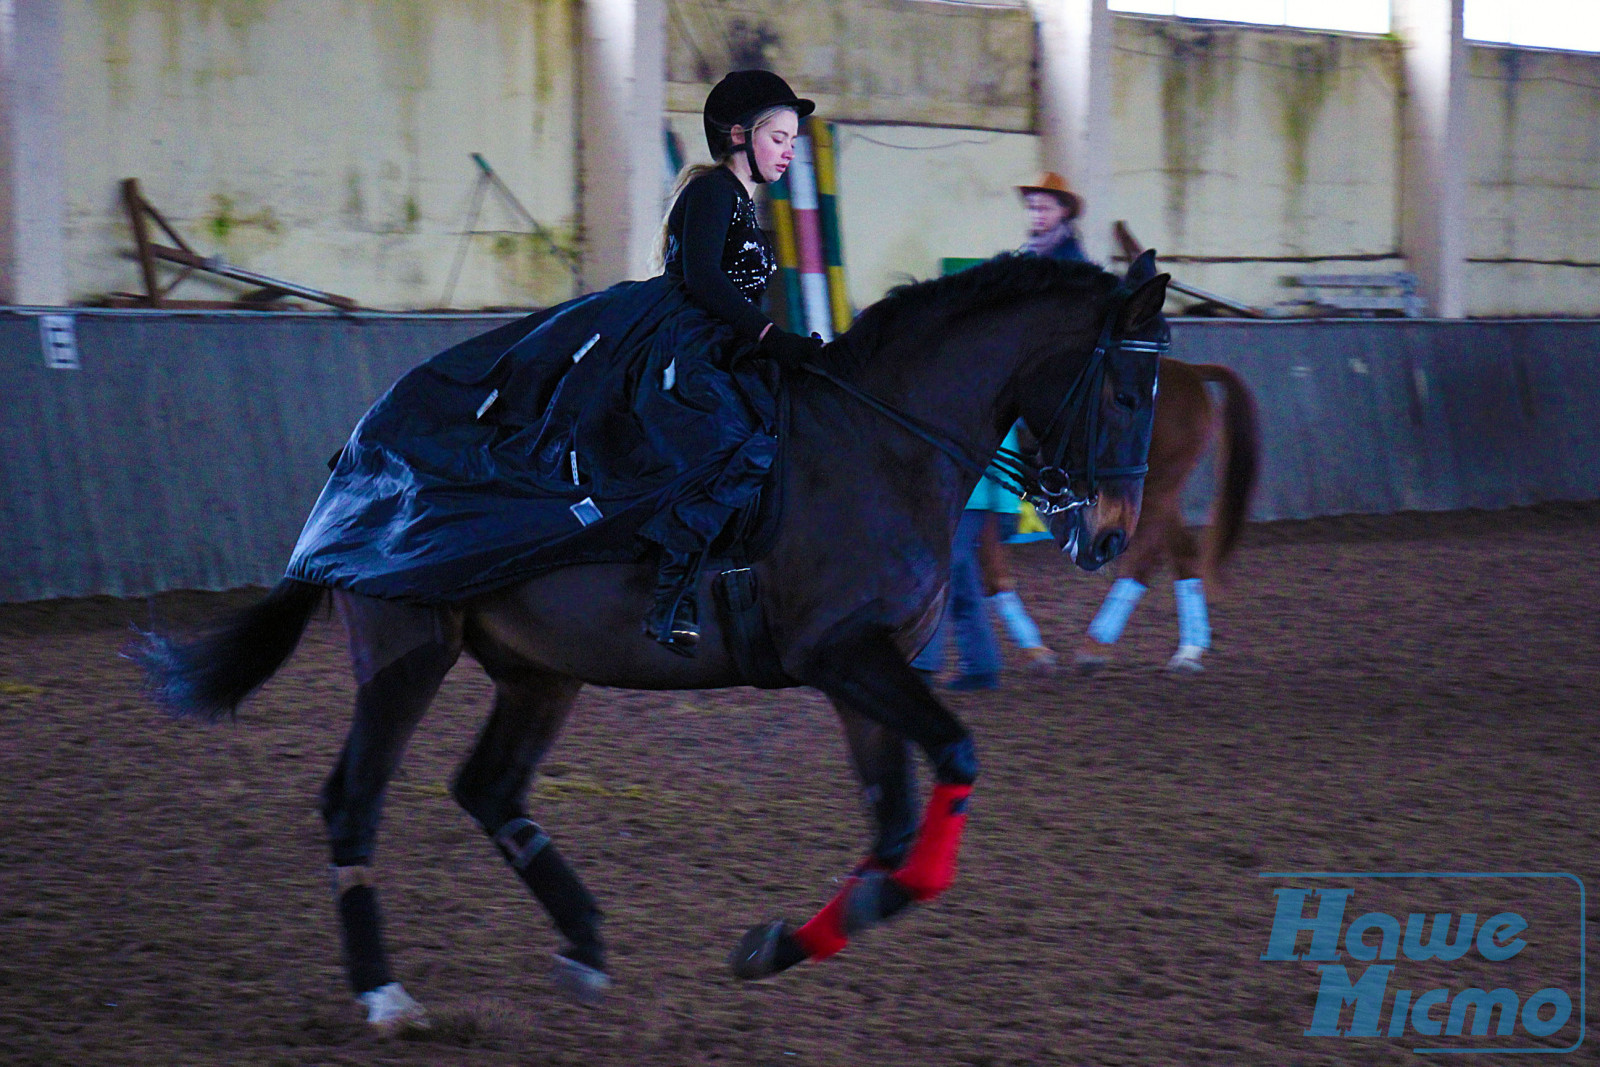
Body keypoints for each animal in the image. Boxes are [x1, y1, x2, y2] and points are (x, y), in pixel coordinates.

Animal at [137, 254, 1171, 1030]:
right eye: (1126, 391)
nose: (1107, 536)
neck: (883, 443)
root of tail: (353, 455)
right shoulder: (846, 655)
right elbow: (952, 760)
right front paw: (818, 926)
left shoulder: (866, 671)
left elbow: (889, 830)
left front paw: (779, 944)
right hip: (408, 656)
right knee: (354, 799)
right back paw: (388, 997)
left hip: (539, 674)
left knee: (489, 787)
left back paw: (586, 946)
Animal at [1075, 358, 1260, 675]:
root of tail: (1191, 370)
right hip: (1159, 489)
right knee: (1184, 552)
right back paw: (1188, 654)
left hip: (1152, 484)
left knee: (1146, 559)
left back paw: (1094, 649)